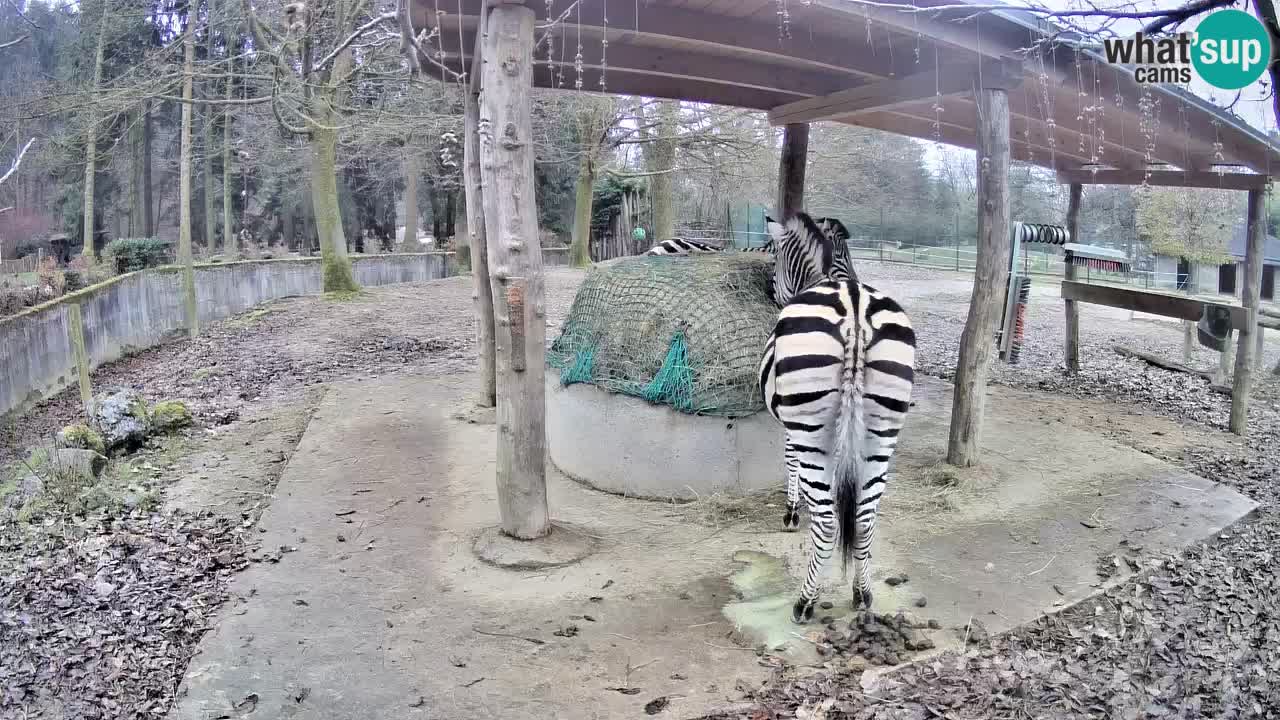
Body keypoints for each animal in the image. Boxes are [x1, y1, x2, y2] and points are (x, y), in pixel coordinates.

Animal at [752, 210, 916, 620]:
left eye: (774, 259)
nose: (769, 293)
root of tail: (855, 308)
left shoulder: (793, 424)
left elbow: (790, 461)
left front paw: (793, 512)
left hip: (812, 427)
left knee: (828, 524)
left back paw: (804, 602)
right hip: (881, 431)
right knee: (865, 517)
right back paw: (862, 594)